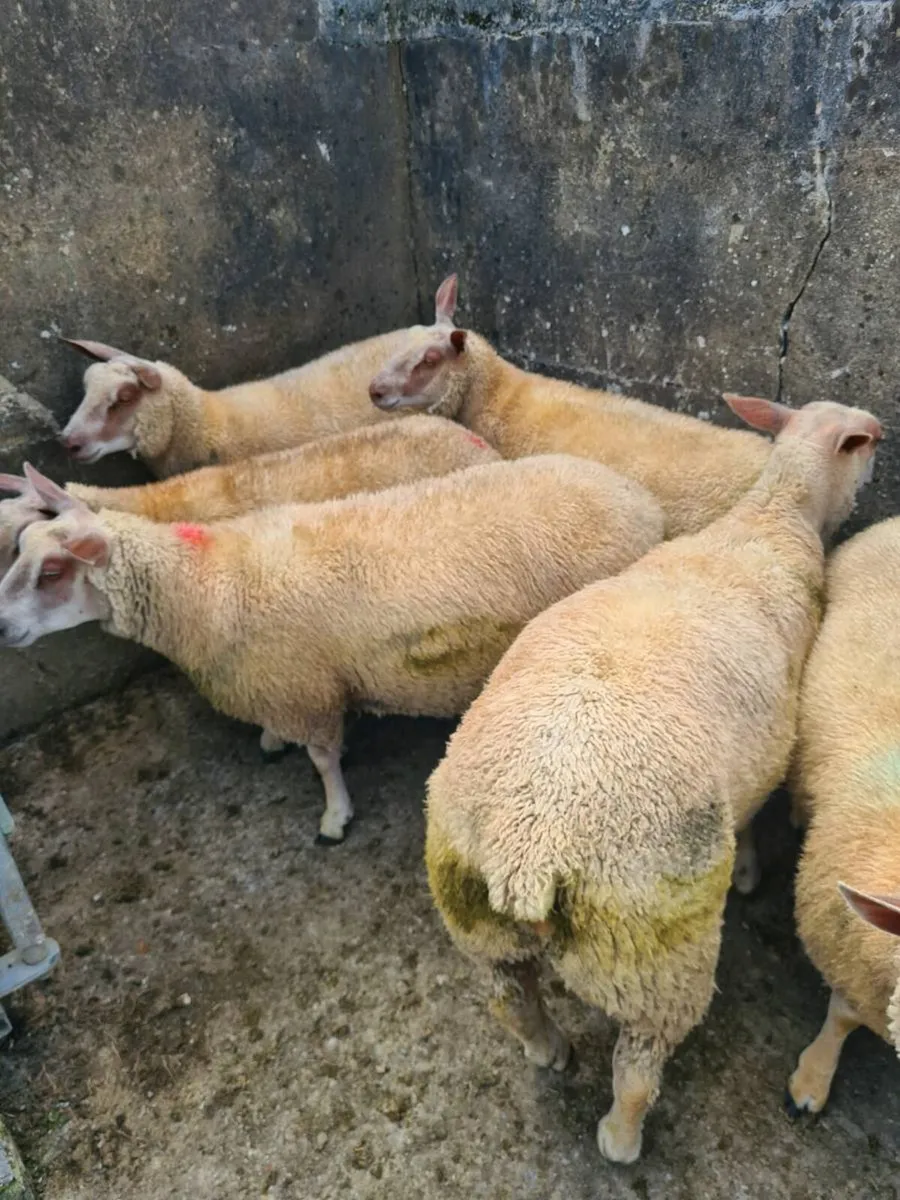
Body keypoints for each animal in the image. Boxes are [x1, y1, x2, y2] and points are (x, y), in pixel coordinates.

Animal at [0, 455, 664, 844]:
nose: (2, 626)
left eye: (53, 571)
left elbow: (322, 760)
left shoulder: (306, 687)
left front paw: (334, 817)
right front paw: (272, 742)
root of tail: (639, 499)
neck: (207, 586)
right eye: (20, 549)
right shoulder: (278, 684)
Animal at [423, 395, 881, 1165]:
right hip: (652, 954)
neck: (769, 519)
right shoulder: (771, 747)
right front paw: (750, 870)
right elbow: (750, 819)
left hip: (480, 924)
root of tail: (529, 856)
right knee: (638, 1066)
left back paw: (548, 1050)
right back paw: (621, 1137)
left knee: (511, 1001)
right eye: (869, 442)